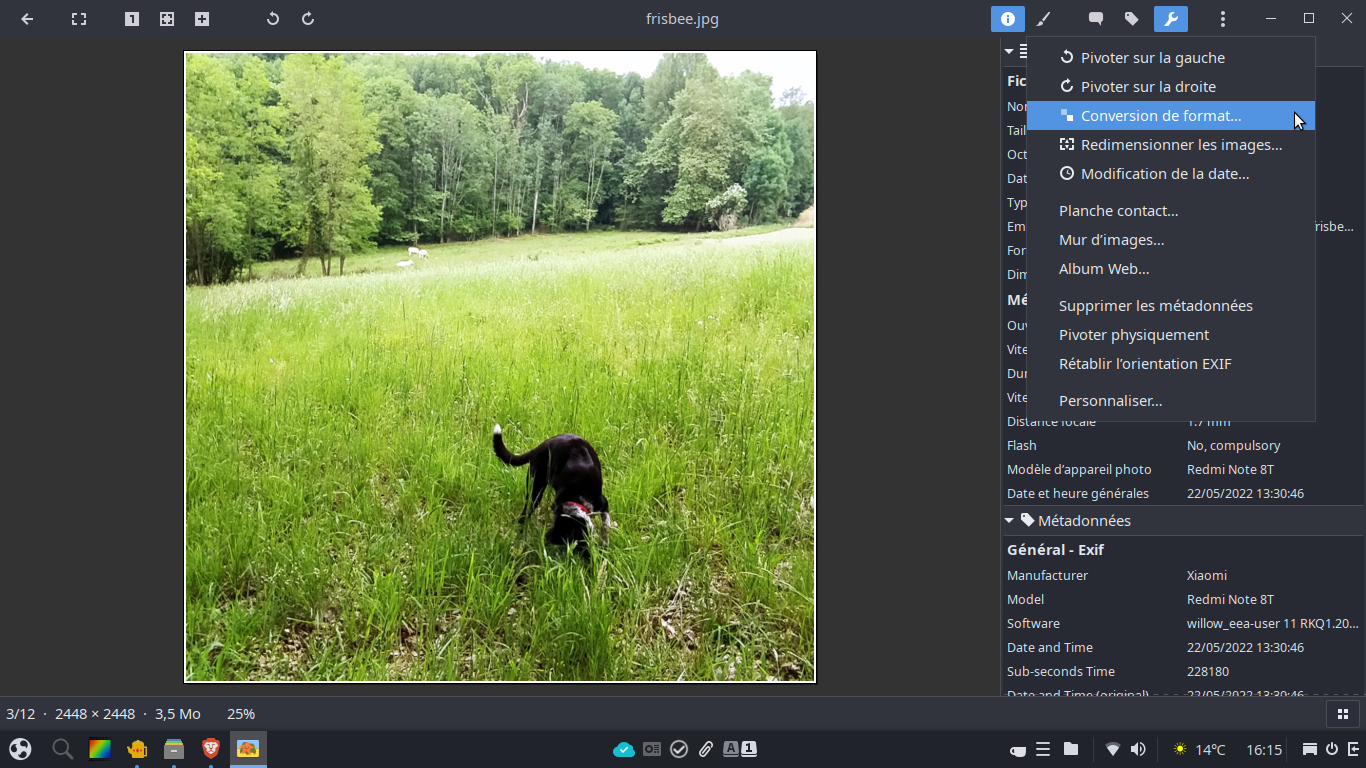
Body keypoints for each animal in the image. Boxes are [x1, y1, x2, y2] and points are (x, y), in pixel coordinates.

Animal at [493, 424, 610, 552]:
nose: (547, 538)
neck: (578, 495)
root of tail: (537, 449)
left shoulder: (603, 503)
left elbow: (606, 525)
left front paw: (605, 543)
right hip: (535, 491)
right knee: (525, 513)